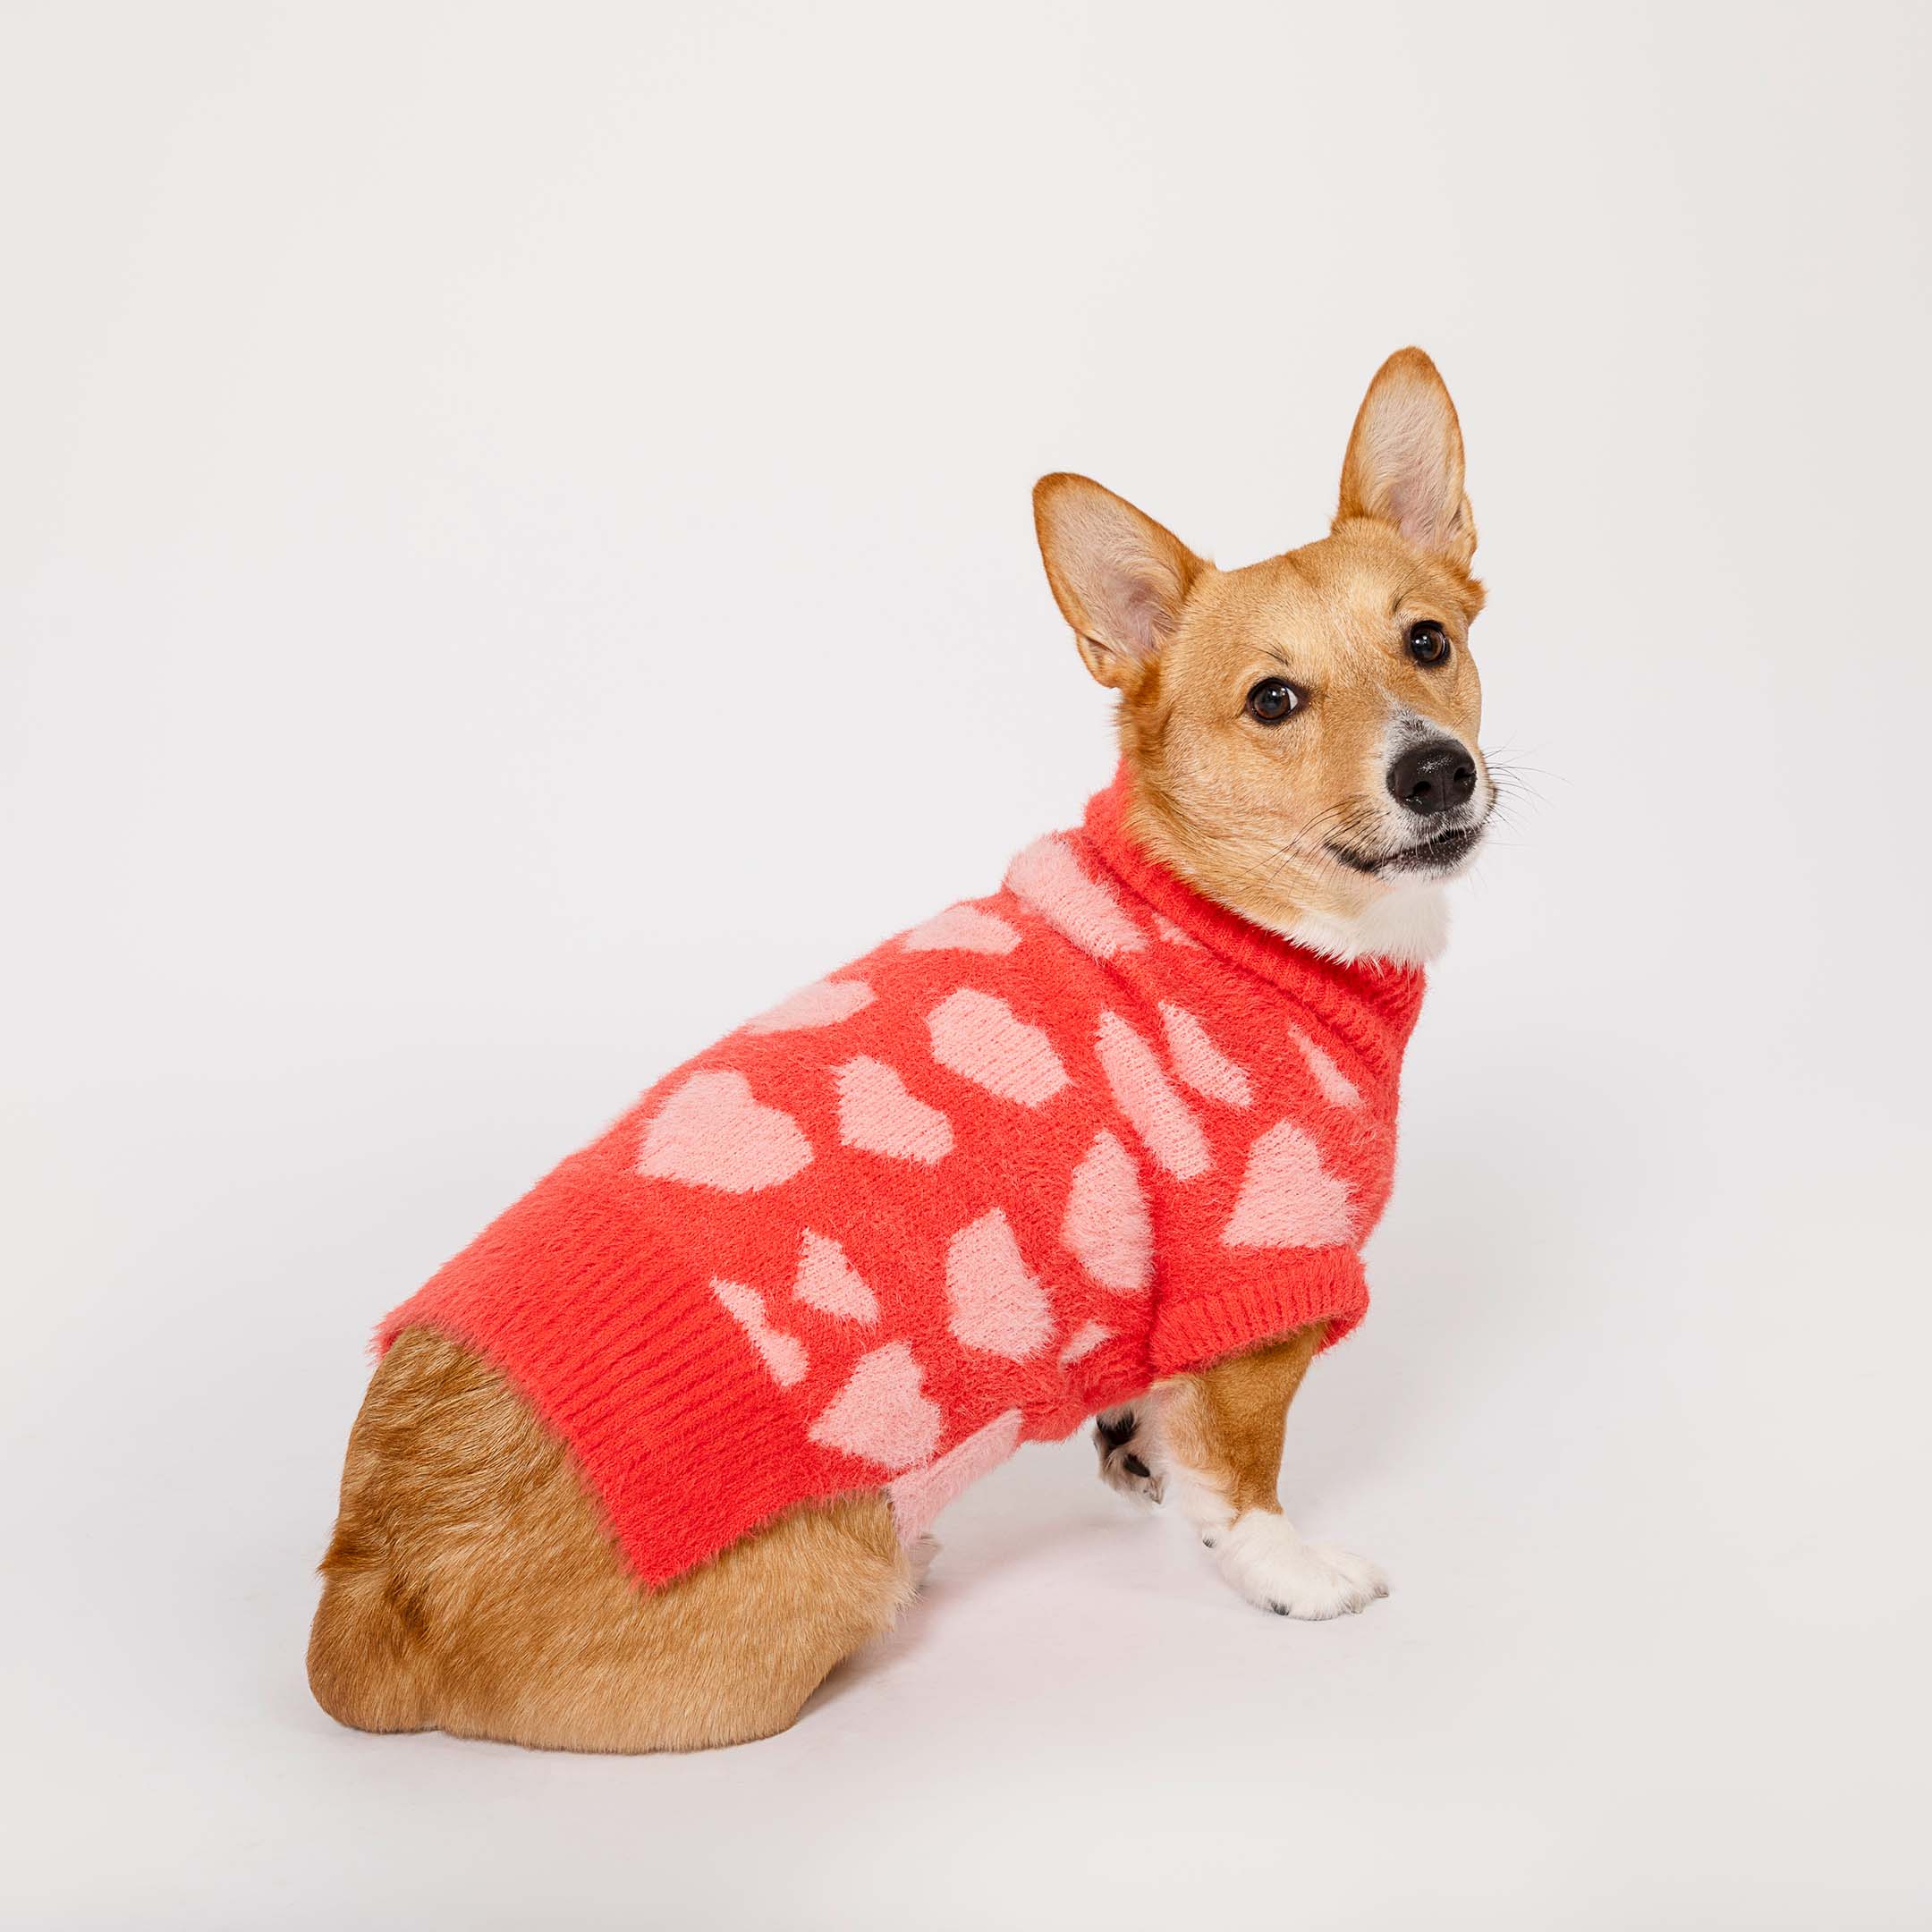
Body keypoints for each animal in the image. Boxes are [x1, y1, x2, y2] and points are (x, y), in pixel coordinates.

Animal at [312, 343, 1491, 1754]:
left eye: (1428, 642)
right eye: (1274, 699)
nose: (1439, 772)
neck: (1227, 914)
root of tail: (362, 1593)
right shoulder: (1257, 1292)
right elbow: (1241, 1485)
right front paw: (1293, 1576)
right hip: (847, 1558)